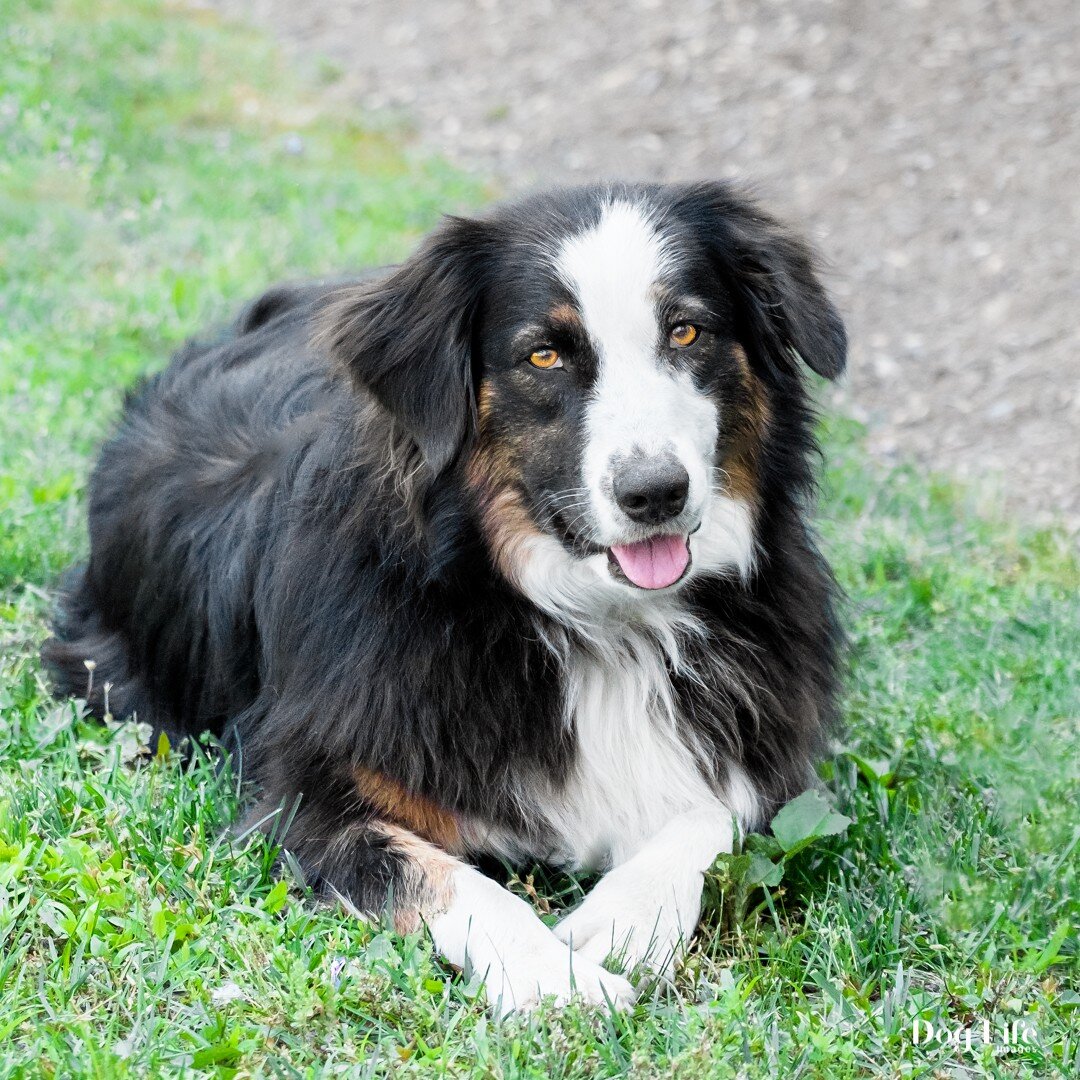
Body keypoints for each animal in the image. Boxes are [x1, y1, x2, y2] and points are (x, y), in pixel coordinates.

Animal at [46, 181, 846, 1015]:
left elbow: (710, 819)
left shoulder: (761, 752)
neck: (578, 616)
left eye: (687, 331)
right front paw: (557, 980)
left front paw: (622, 922)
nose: (654, 492)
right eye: (543, 354)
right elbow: (454, 884)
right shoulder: (305, 799)